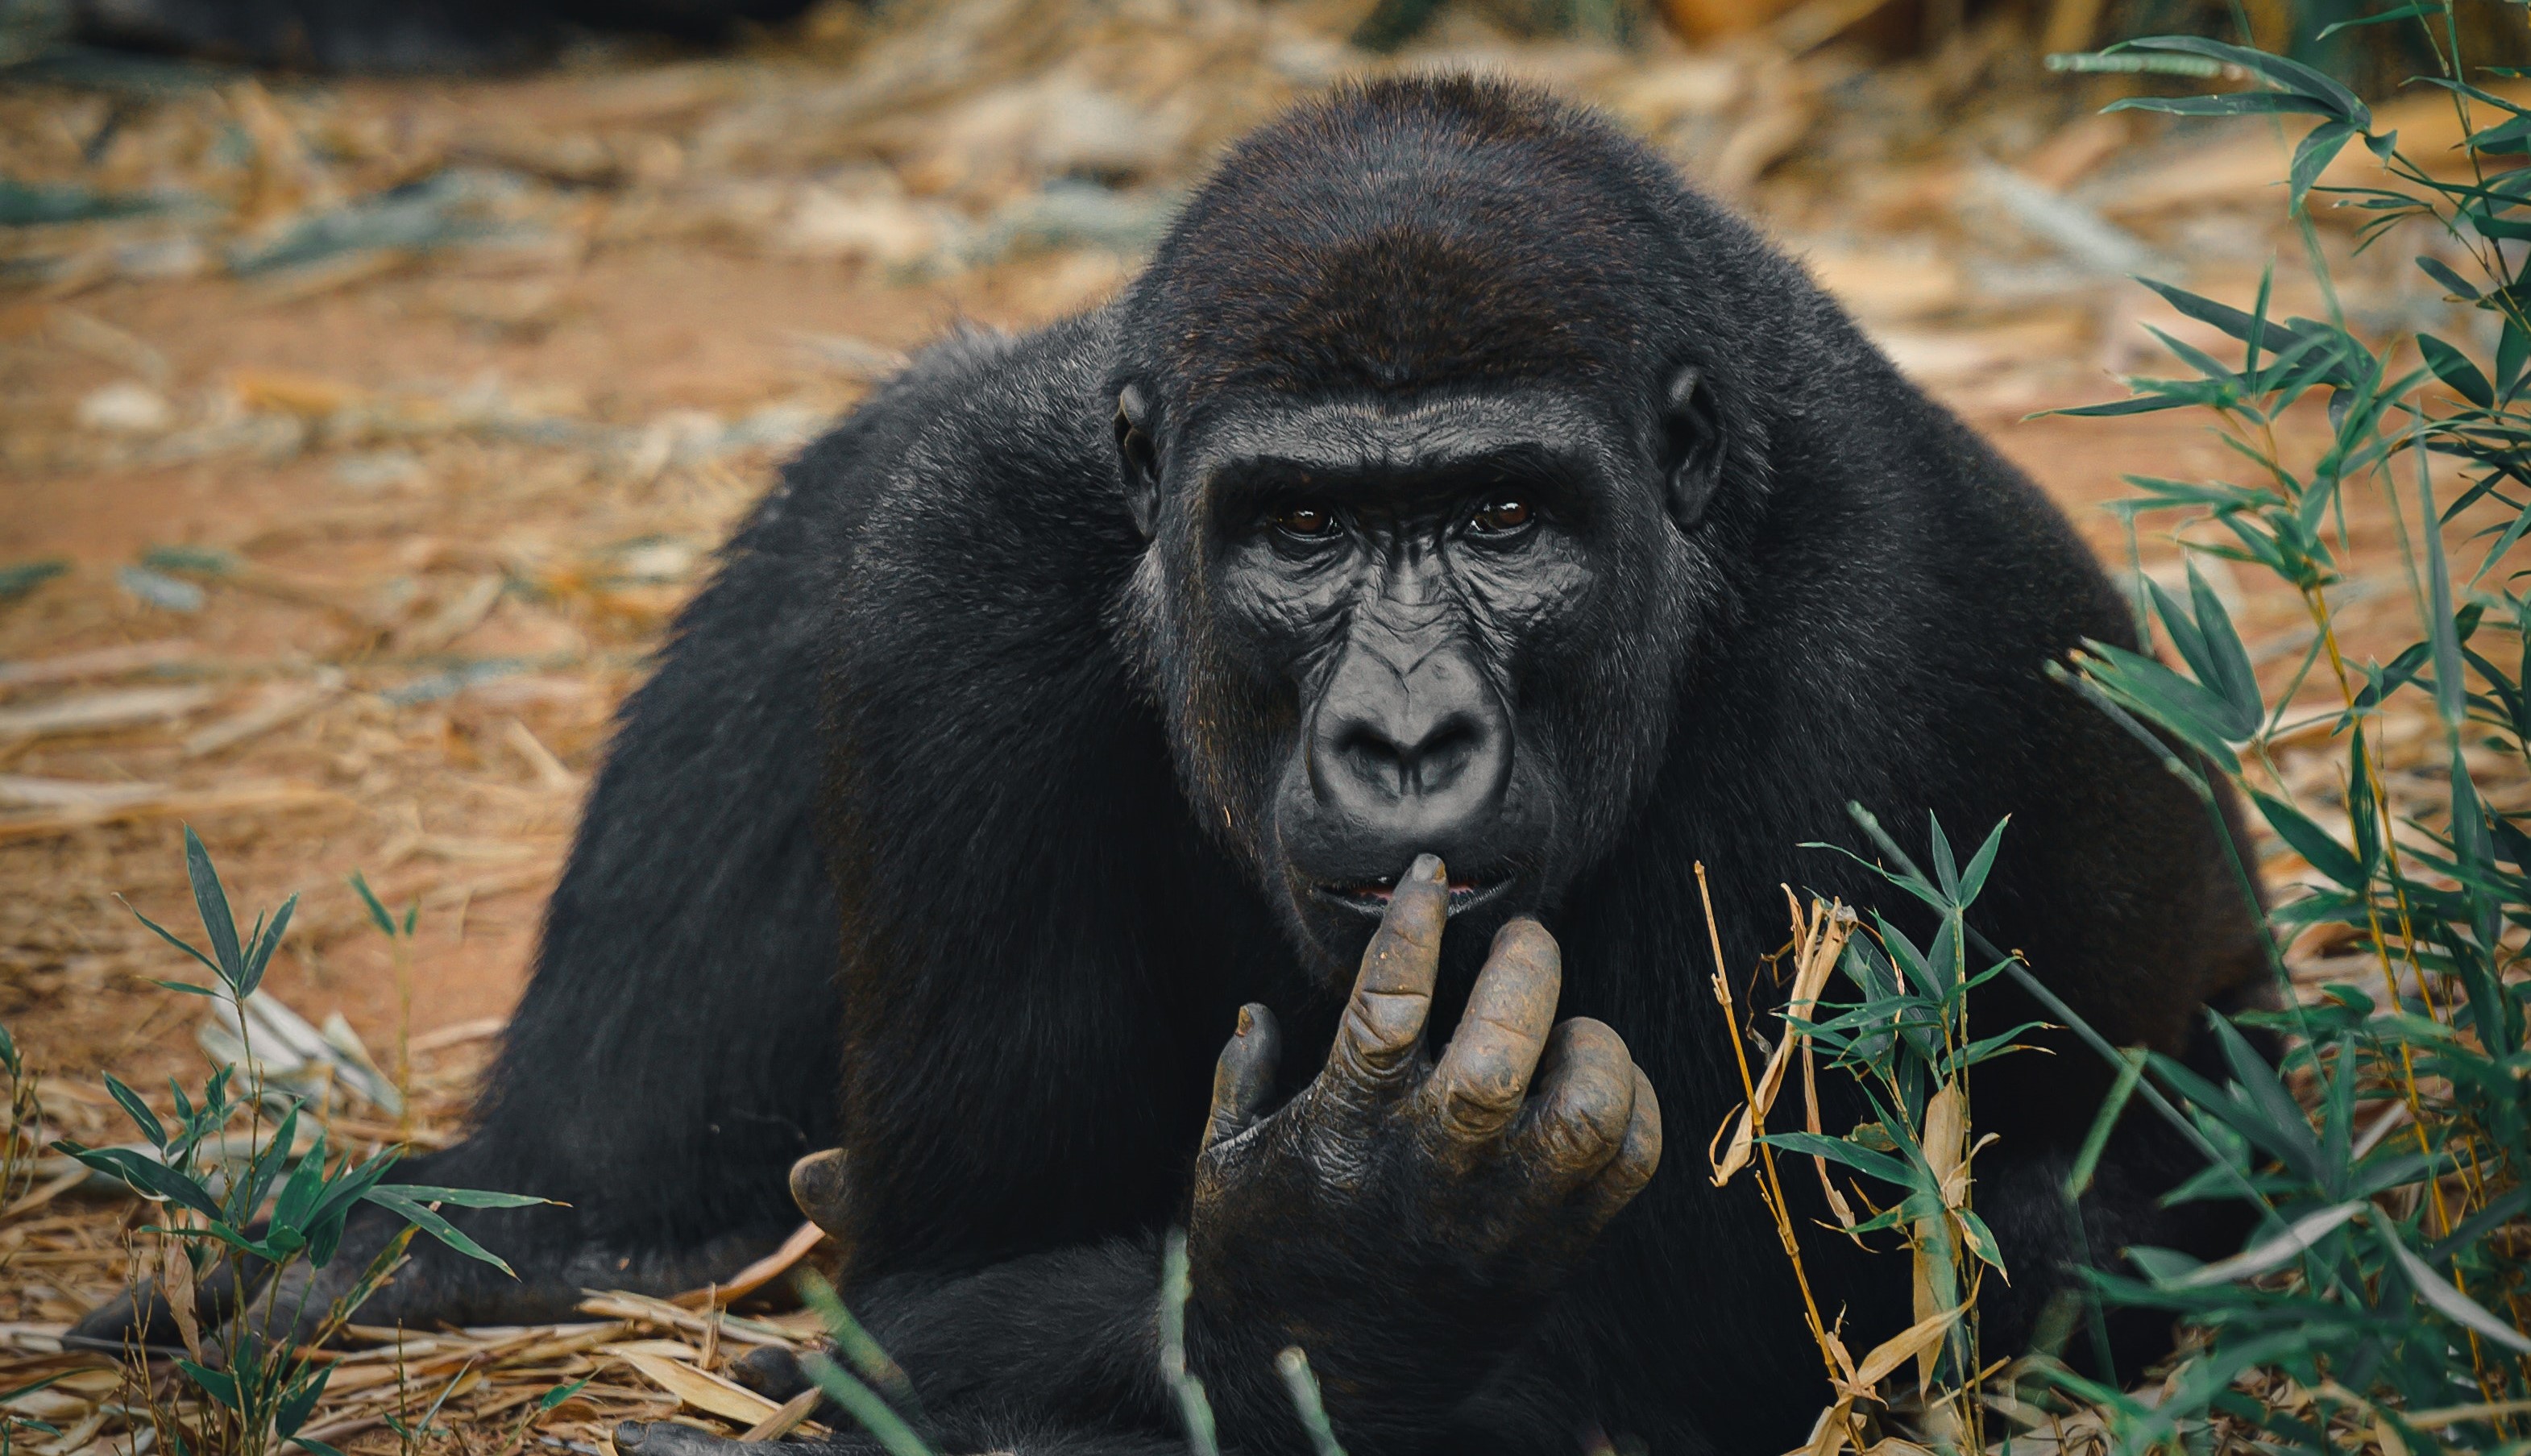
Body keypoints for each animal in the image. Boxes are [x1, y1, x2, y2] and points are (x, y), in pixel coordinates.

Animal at [79, 77, 2268, 1456]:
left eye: (1503, 519)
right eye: (1299, 532)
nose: (1404, 734)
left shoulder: (1864, 670)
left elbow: (1666, 1378)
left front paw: (1347, 1262)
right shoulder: (959, 561)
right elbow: (965, 1262)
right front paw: (1347, 1267)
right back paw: (552, 1219)